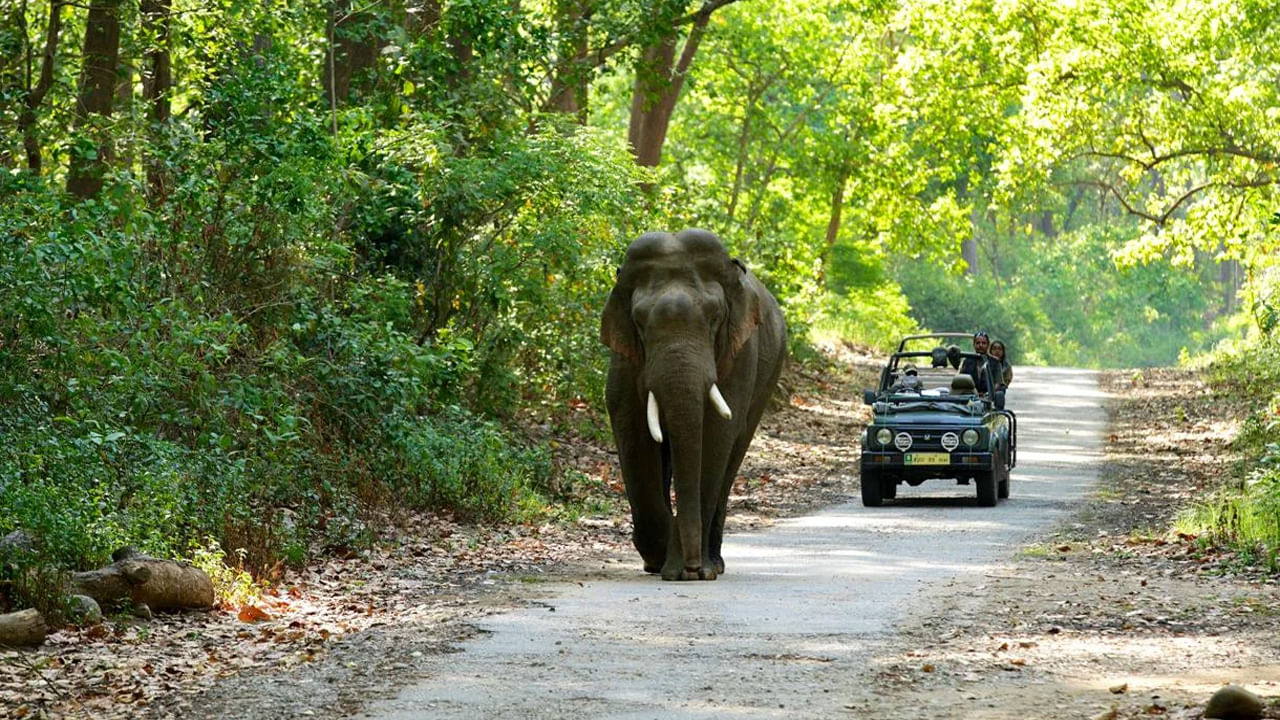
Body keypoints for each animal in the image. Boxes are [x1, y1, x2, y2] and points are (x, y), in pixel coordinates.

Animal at [601, 228, 788, 576]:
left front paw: (691, 571)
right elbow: (633, 430)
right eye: (639, 321)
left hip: (769, 377)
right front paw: (662, 559)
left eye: (715, 317)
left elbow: (715, 434)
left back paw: (714, 562)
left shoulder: (739, 354)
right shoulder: (624, 357)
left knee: (733, 455)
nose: (689, 567)